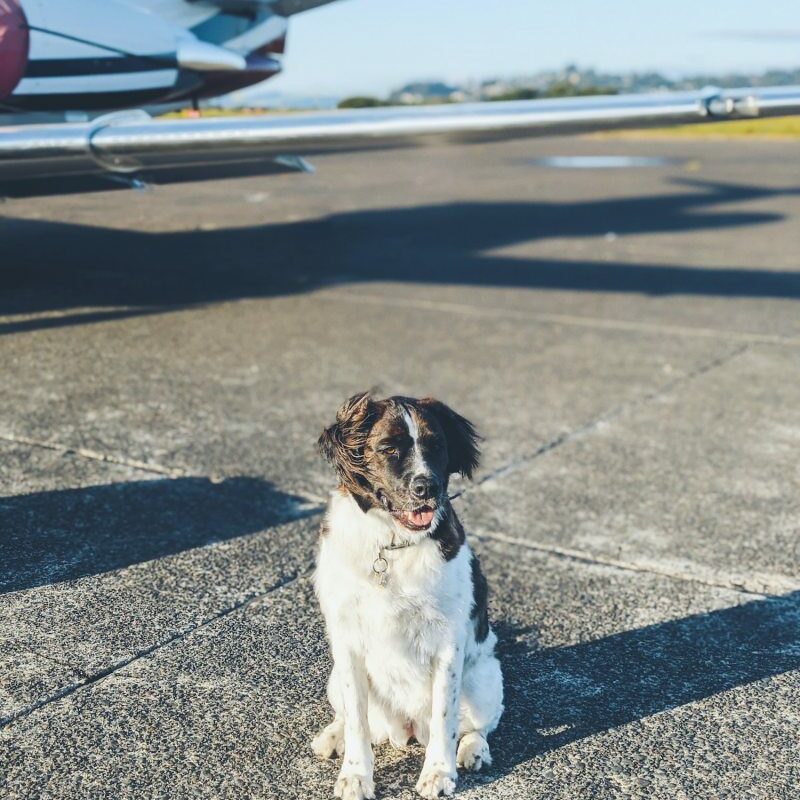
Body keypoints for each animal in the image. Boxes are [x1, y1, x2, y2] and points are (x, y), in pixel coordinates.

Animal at [310, 394, 500, 800]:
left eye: (436, 447)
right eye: (389, 449)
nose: (427, 486)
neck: (393, 544)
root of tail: (407, 728)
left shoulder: (448, 644)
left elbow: (445, 716)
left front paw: (439, 772)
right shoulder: (346, 641)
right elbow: (357, 721)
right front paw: (356, 775)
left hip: (484, 680)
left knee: (477, 727)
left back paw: (473, 750)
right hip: (334, 678)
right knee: (346, 714)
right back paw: (332, 735)